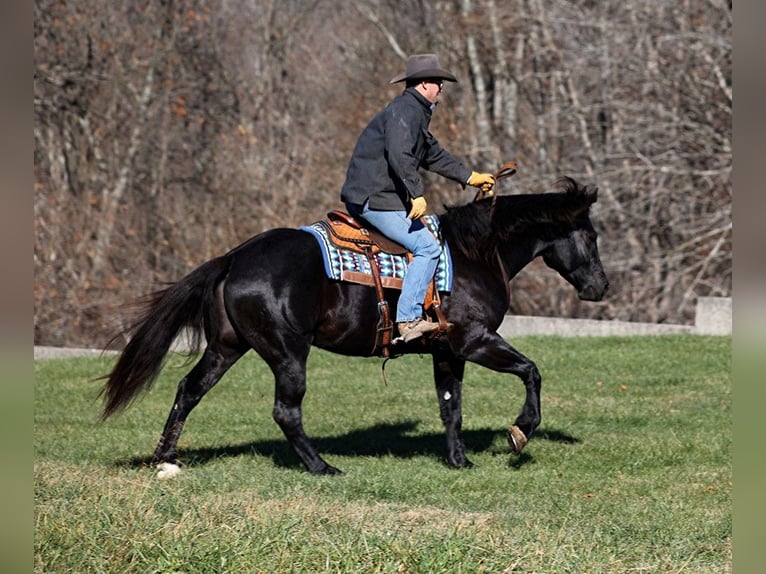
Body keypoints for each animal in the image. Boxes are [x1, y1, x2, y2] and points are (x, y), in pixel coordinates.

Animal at [100, 178, 608, 474]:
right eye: (590, 235)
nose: (600, 286)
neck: (473, 254)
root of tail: (234, 257)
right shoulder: (474, 341)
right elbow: (531, 372)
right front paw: (520, 432)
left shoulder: (447, 352)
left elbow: (451, 407)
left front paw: (458, 460)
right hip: (287, 352)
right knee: (286, 411)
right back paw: (321, 466)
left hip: (228, 346)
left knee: (189, 390)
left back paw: (166, 458)